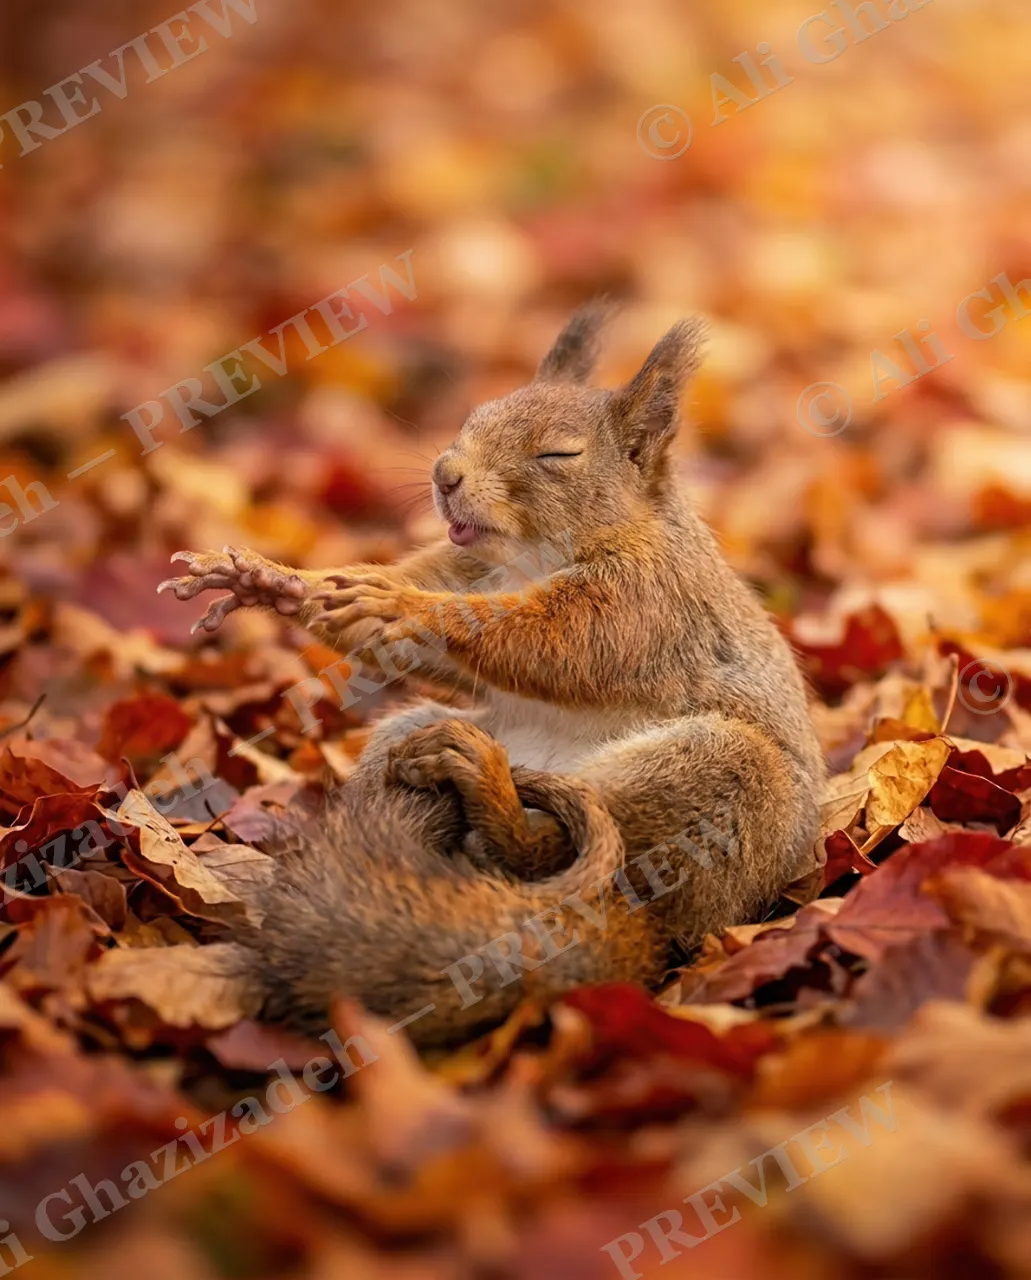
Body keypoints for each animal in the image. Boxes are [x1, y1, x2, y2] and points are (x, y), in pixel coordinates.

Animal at [159, 304, 824, 1047]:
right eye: (471, 420)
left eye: (558, 455)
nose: (445, 474)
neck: (531, 558)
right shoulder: (466, 568)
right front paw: (270, 579)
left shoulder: (646, 600)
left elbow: (552, 640)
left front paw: (401, 604)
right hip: (399, 747)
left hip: (717, 775)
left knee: (547, 849)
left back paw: (488, 787)